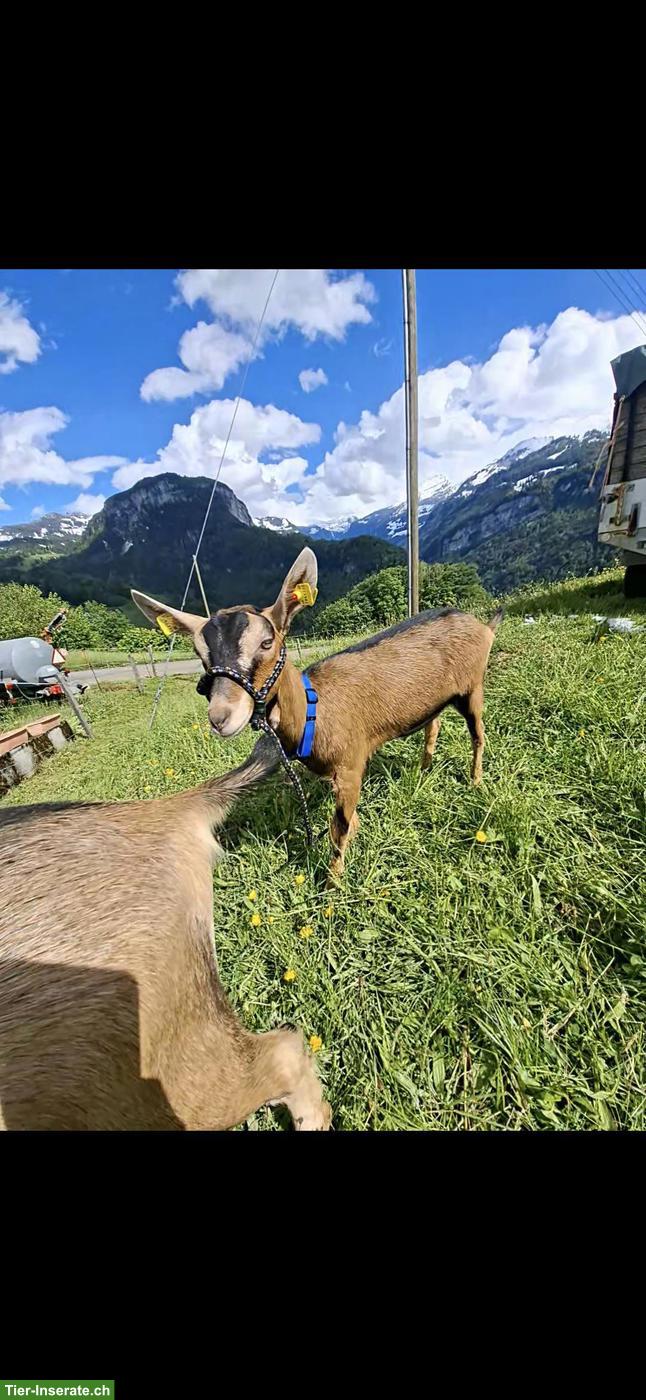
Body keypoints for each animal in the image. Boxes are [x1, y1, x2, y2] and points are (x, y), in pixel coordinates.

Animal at [132, 548, 503, 880]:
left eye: (267, 642)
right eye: (200, 653)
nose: (221, 717)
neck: (315, 710)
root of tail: (482, 625)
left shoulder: (351, 765)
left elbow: (339, 828)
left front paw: (332, 883)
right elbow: (347, 823)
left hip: (473, 687)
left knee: (479, 734)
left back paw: (475, 781)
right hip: (438, 700)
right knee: (433, 724)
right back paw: (424, 769)